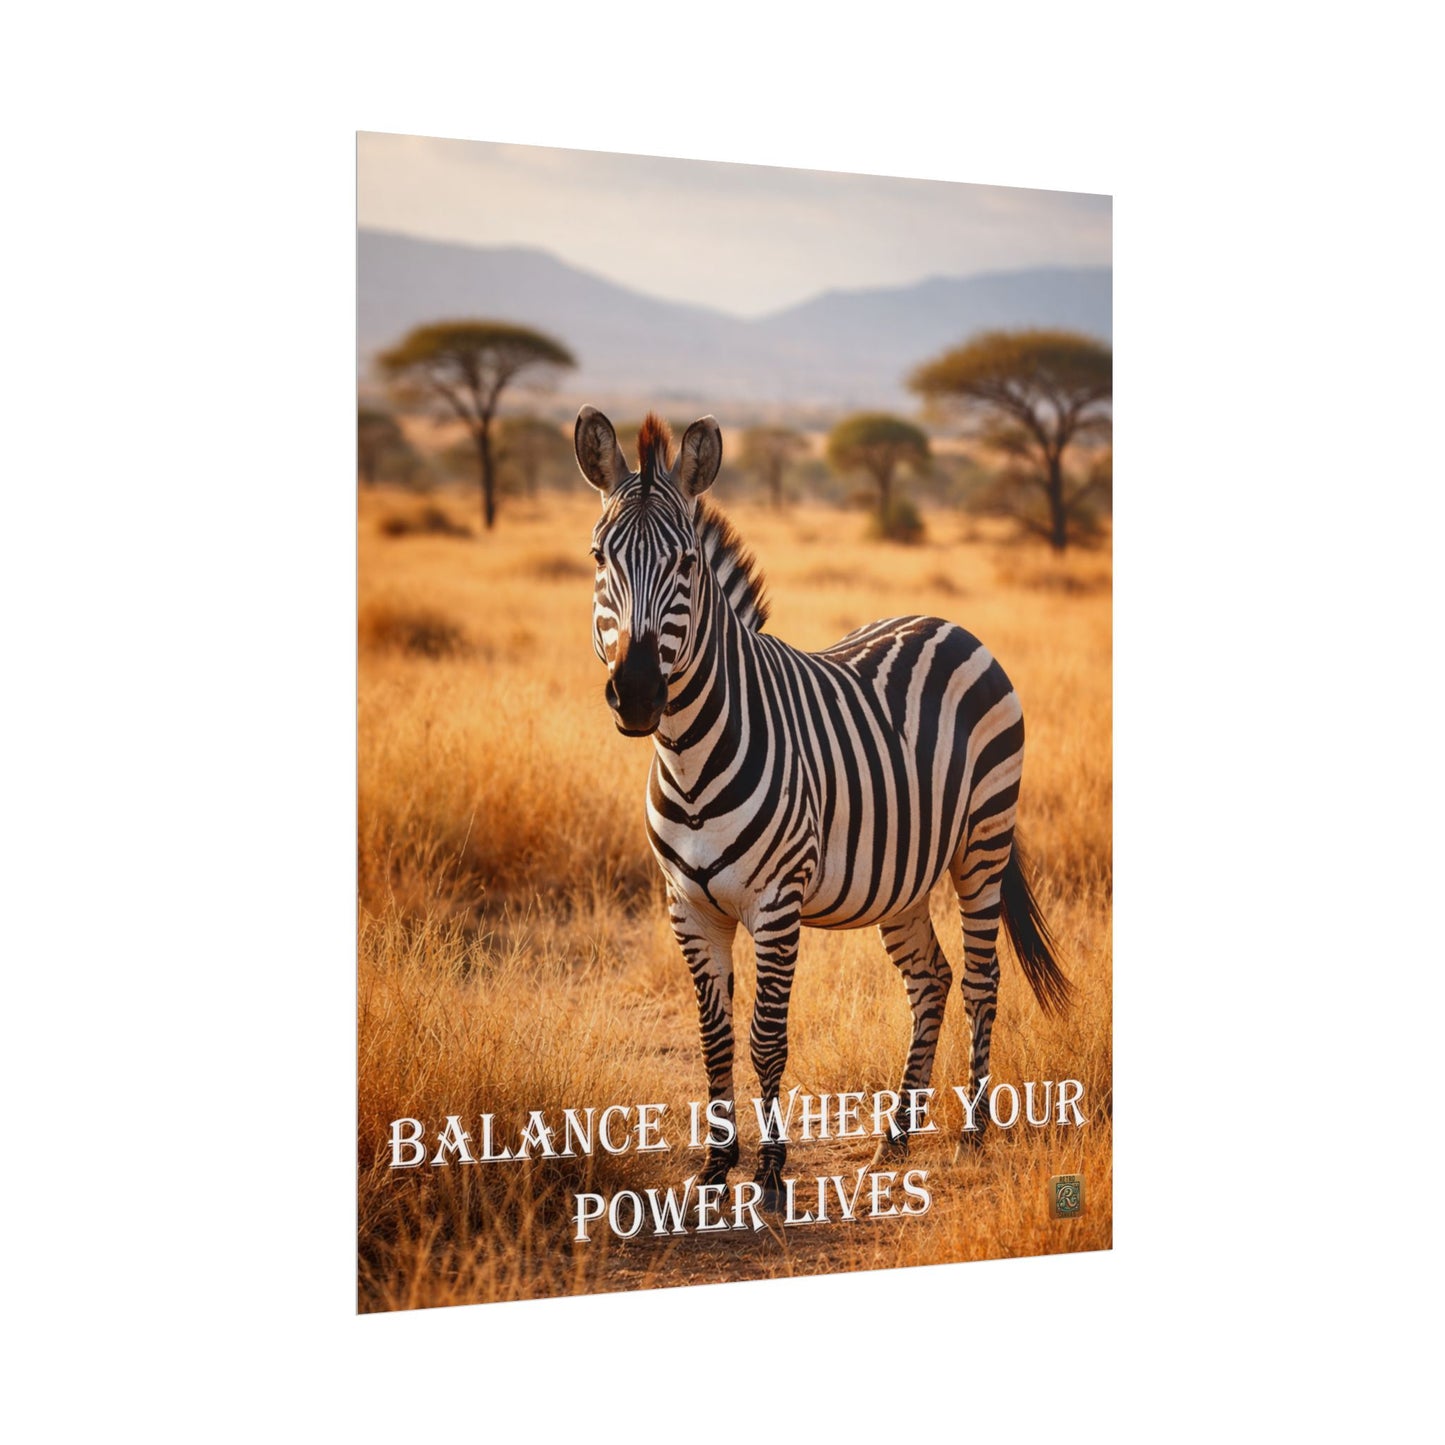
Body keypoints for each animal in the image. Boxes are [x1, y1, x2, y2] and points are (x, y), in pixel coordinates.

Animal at [575, 406, 1071, 1204]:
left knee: (981, 980)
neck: (687, 755)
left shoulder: (776, 902)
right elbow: (713, 1036)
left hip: (983, 843)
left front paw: (772, 1171)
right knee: (930, 979)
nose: (639, 694)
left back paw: (972, 1132)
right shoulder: (687, 906)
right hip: (902, 877)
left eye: (686, 564)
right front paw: (715, 1166)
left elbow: (765, 1036)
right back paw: (895, 1137)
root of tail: (946, 622)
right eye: (598, 557)